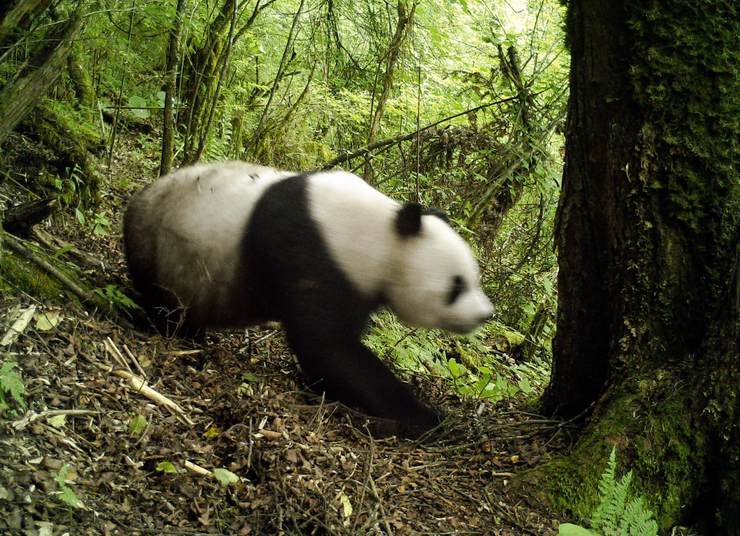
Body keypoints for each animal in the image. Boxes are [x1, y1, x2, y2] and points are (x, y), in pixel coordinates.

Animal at [123, 161, 492, 438]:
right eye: (456, 285)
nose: (486, 314)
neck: (382, 233)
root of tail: (137, 199)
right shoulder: (313, 250)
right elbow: (326, 346)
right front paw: (427, 417)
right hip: (162, 249)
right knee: (164, 302)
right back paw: (180, 330)